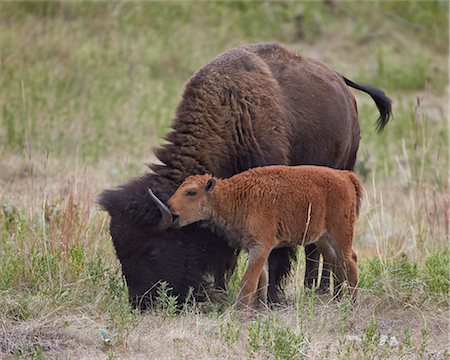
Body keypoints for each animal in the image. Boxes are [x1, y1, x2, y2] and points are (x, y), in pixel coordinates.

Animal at [162, 166, 362, 310]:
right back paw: (337, 300)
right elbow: (262, 281)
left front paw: (241, 311)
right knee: (337, 264)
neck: (233, 196)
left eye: (191, 192)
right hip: (323, 239)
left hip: (340, 234)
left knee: (350, 261)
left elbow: (248, 282)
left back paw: (352, 304)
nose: (170, 208)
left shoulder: (260, 247)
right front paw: (260, 309)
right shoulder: (257, 250)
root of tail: (344, 176)